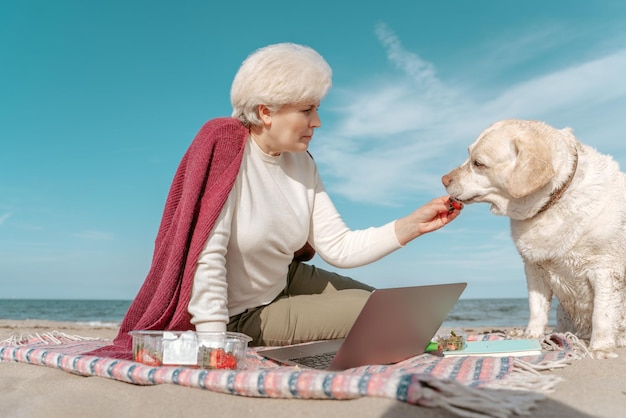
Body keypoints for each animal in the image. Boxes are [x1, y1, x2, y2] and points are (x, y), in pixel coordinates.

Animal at [438, 119, 624, 358]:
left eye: (478, 163)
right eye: (468, 155)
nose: (443, 180)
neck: (554, 200)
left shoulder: (605, 270)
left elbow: (602, 314)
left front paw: (600, 348)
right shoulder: (534, 268)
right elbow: (536, 308)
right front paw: (532, 336)